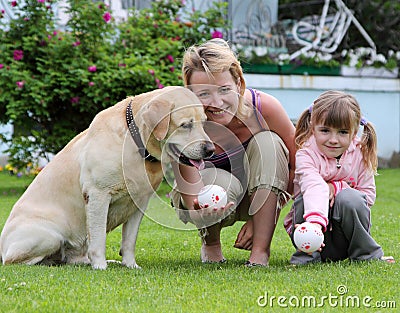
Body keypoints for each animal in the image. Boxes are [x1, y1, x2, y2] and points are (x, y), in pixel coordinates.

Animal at [0, 85, 214, 268]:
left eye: (204, 122)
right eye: (186, 125)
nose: (210, 149)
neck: (136, 143)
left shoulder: (140, 202)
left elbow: (129, 240)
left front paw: (130, 265)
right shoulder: (97, 195)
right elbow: (98, 236)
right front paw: (100, 266)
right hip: (49, 236)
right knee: (16, 260)